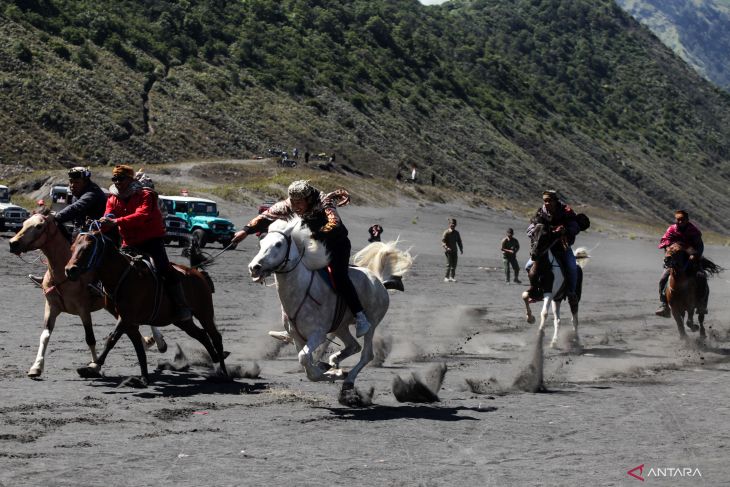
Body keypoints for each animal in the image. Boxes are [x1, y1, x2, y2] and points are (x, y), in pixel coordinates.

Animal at [65, 229, 226, 386]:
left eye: (87, 248)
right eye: (72, 248)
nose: (69, 270)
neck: (122, 276)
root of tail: (197, 272)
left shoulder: (126, 318)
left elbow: (111, 339)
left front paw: (94, 365)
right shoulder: (128, 322)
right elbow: (138, 347)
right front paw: (144, 378)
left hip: (204, 312)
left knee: (215, 337)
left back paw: (223, 372)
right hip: (182, 321)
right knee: (202, 335)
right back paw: (216, 361)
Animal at [247, 218, 410, 400]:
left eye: (278, 244)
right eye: (261, 243)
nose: (254, 267)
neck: (302, 289)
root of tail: (379, 282)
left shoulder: (317, 334)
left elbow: (305, 359)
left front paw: (336, 373)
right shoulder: (297, 337)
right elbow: (307, 365)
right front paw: (332, 371)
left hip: (372, 323)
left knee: (366, 354)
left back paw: (348, 379)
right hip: (340, 326)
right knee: (354, 346)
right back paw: (334, 361)